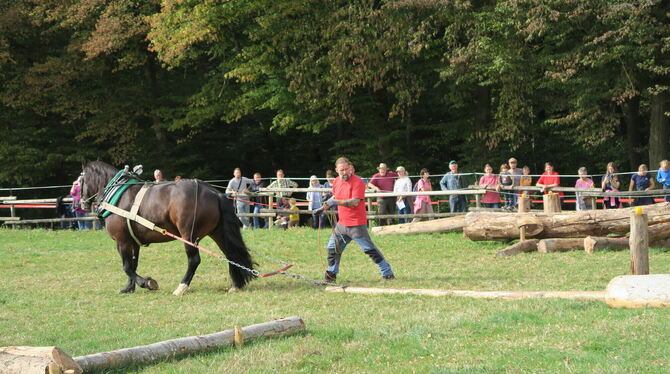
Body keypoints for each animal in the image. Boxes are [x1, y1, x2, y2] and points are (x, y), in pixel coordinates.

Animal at [80, 161, 255, 296]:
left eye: (79, 182)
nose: (81, 203)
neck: (118, 195)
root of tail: (213, 192)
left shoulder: (121, 241)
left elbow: (127, 267)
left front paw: (147, 283)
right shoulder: (133, 242)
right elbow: (133, 264)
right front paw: (129, 288)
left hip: (188, 235)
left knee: (194, 260)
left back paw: (181, 287)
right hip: (218, 233)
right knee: (231, 254)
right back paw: (236, 285)